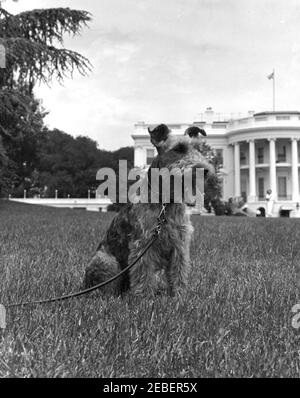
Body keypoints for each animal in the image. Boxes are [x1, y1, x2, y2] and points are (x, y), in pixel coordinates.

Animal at [84, 124, 213, 296]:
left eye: (199, 149)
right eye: (178, 148)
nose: (204, 171)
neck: (165, 204)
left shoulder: (180, 244)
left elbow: (179, 272)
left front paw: (180, 295)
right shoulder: (143, 243)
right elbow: (143, 274)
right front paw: (144, 297)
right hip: (107, 261)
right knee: (104, 288)